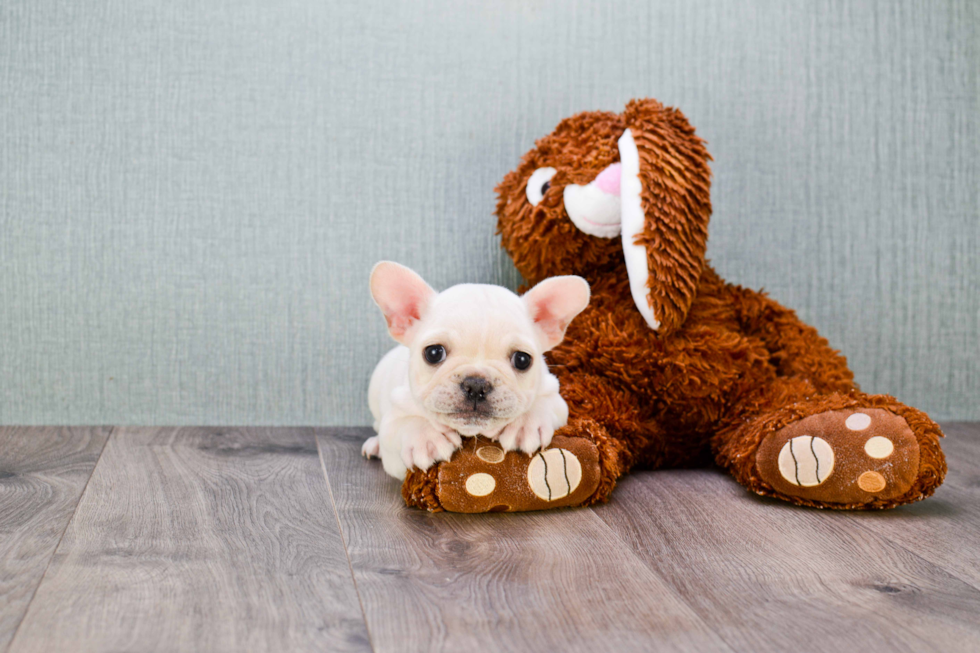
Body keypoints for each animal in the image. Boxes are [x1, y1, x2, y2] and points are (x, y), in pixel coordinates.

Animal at [362, 260, 584, 478]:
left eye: (522, 360)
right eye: (433, 353)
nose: (476, 385)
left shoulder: (554, 395)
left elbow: (540, 403)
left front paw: (524, 424)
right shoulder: (395, 420)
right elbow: (404, 423)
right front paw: (426, 437)